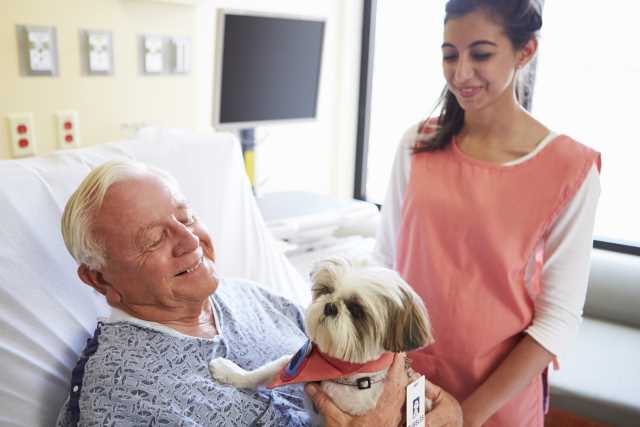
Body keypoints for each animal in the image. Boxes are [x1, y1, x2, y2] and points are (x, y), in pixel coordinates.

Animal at [210, 258, 436, 424]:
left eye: (357, 311)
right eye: (327, 290)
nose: (331, 306)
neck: (339, 370)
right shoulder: (295, 366)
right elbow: (264, 372)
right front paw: (230, 372)